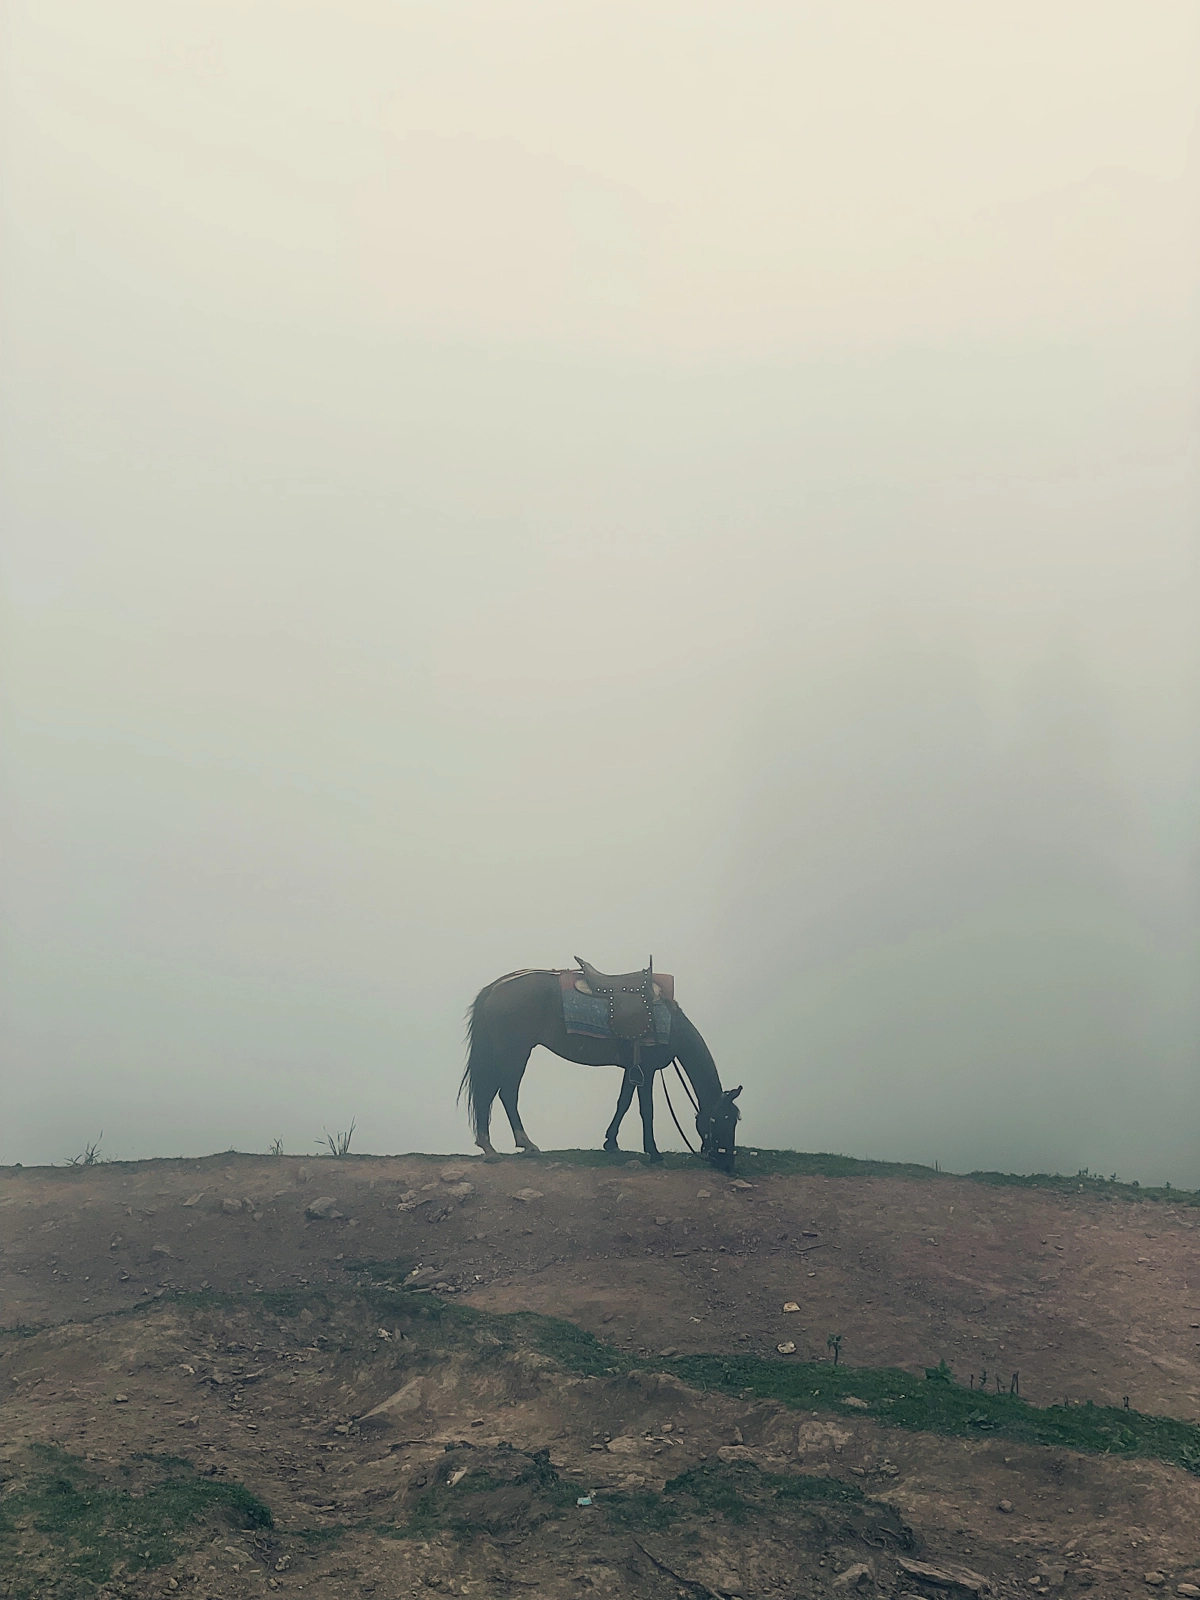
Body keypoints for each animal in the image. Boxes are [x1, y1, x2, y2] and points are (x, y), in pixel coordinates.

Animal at [460, 966, 742, 1171]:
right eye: (723, 1121)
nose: (727, 1164)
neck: (671, 1024)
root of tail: (496, 987)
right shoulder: (648, 1069)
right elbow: (646, 1110)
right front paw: (653, 1152)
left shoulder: (633, 1070)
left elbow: (623, 1103)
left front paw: (611, 1142)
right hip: (514, 1052)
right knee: (502, 1093)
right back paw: (509, 1147)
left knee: (496, 1093)